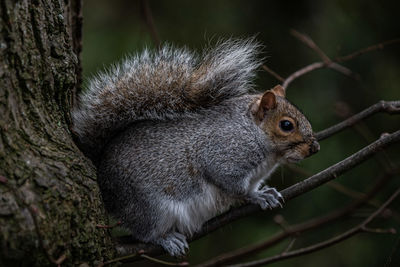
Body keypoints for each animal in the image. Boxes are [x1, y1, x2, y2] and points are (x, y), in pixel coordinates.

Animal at [72, 39, 320, 258]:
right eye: (286, 125)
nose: (315, 148)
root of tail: (102, 175)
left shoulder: (254, 174)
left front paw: (266, 192)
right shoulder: (224, 156)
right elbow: (235, 186)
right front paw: (256, 196)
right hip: (147, 207)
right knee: (145, 232)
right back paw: (167, 239)